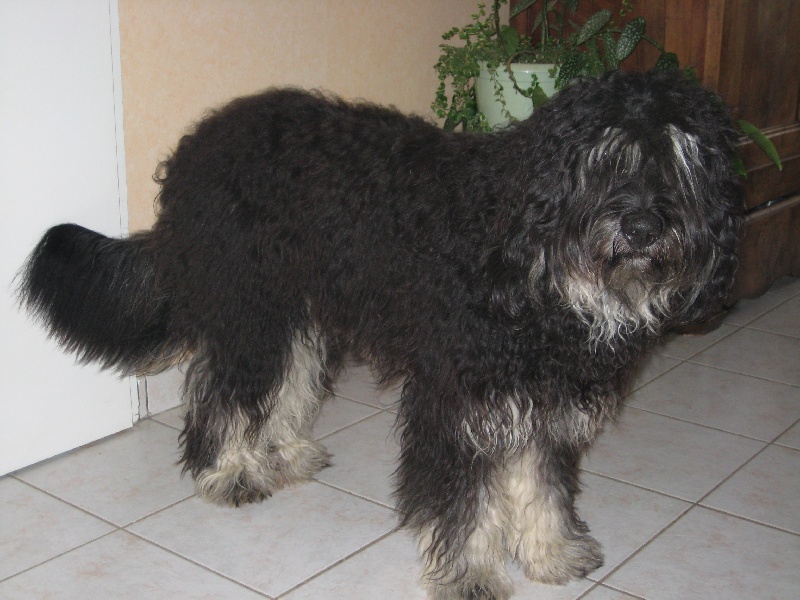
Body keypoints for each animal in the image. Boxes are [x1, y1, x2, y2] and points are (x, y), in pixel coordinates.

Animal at [19, 70, 741, 599]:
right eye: (605, 159)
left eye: (682, 160)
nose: (644, 227)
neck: (530, 254)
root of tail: (204, 137)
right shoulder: (459, 396)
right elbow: (464, 502)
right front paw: (471, 574)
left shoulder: (545, 399)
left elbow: (542, 484)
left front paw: (551, 551)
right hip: (252, 308)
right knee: (221, 395)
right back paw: (229, 471)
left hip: (301, 309)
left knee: (289, 384)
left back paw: (286, 451)